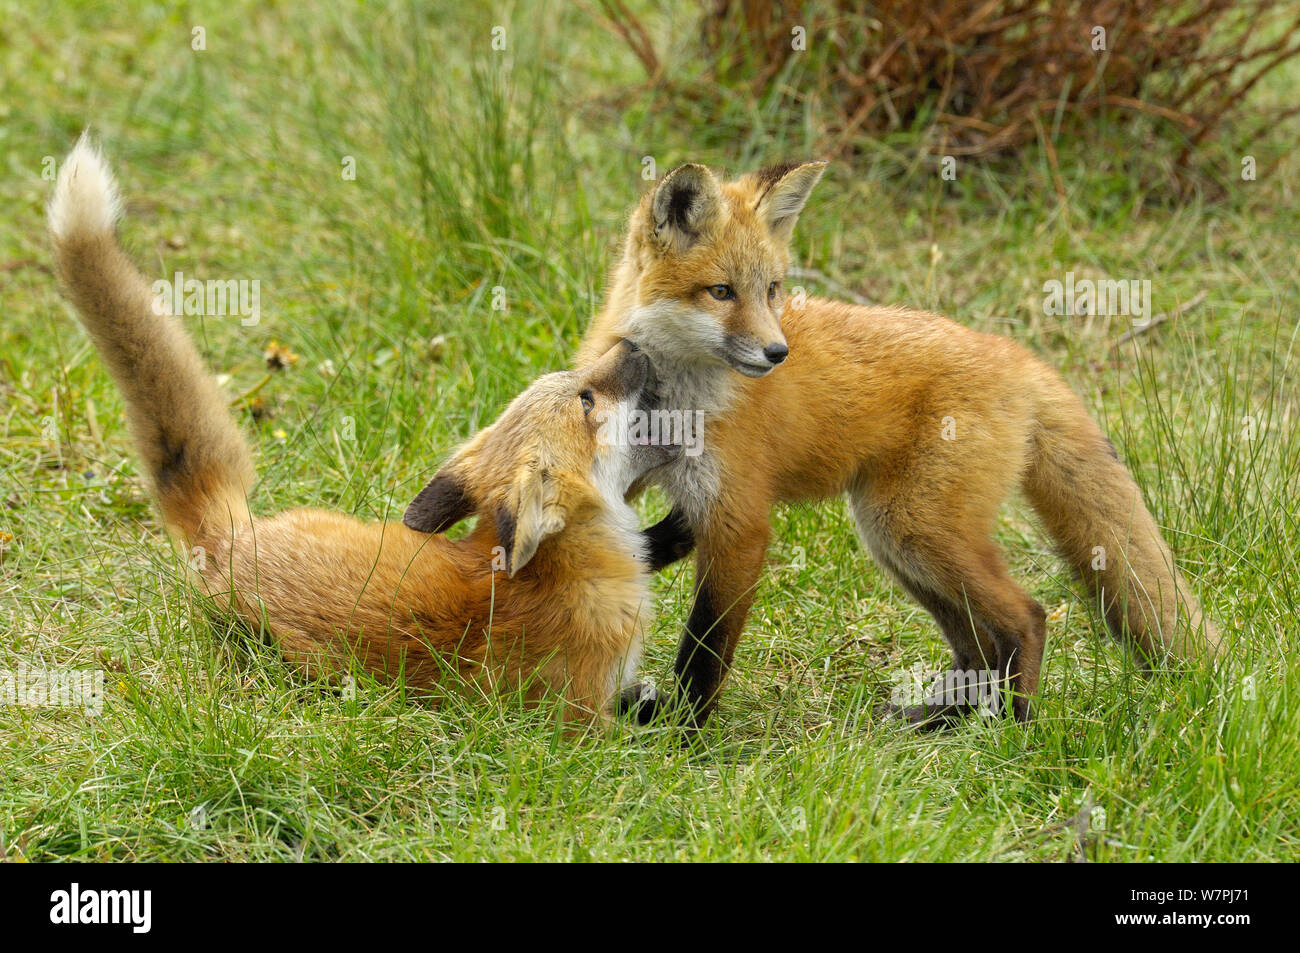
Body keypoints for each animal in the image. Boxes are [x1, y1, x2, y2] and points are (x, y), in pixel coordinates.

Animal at [579, 159, 1216, 722]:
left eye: (772, 289)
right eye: (720, 292)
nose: (778, 353)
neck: (674, 404)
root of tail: (1013, 354)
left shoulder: (740, 520)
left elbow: (705, 650)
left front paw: (687, 734)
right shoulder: (633, 482)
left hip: (912, 527)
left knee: (1027, 616)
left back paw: (1012, 726)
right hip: (898, 542)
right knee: (976, 647)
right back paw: (945, 720)